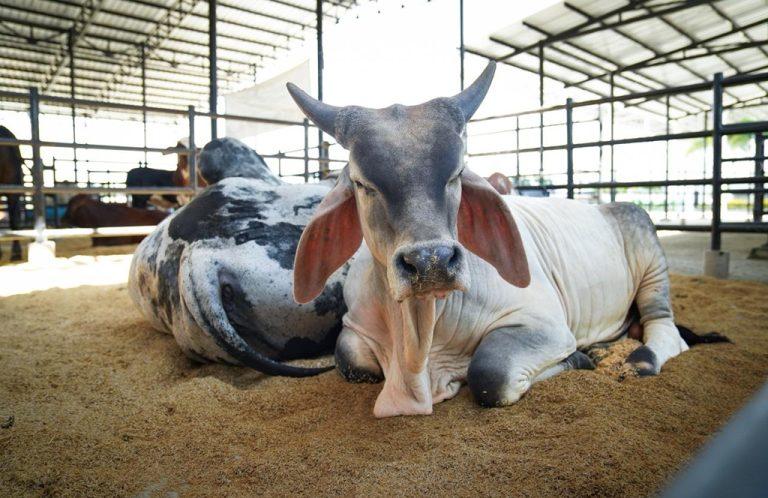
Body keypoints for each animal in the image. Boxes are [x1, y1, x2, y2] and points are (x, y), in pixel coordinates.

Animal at [286, 62, 728, 418]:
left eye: (456, 174)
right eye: (362, 183)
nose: (431, 261)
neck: (419, 349)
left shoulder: (545, 324)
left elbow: (490, 375)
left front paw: (578, 359)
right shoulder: (355, 331)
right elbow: (351, 362)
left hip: (651, 259)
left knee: (665, 330)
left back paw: (637, 359)